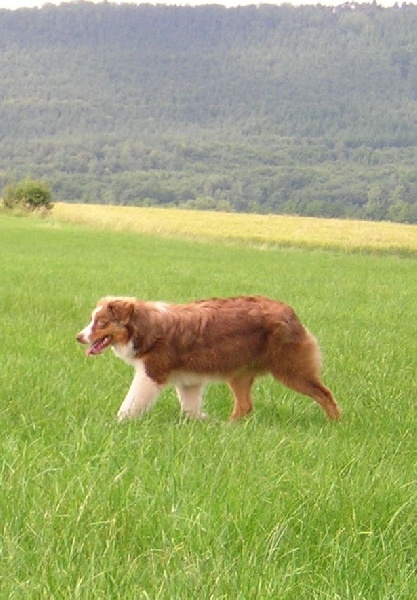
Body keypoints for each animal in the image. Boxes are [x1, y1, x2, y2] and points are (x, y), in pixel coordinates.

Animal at [76, 296, 340, 422]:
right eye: (92, 320)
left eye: (101, 323)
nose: (78, 337)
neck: (142, 326)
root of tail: (290, 311)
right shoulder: (188, 381)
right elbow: (190, 409)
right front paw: (204, 421)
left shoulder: (151, 373)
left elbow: (130, 404)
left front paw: (117, 424)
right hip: (240, 374)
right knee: (245, 406)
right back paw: (227, 428)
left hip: (291, 370)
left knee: (325, 394)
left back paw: (336, 424)